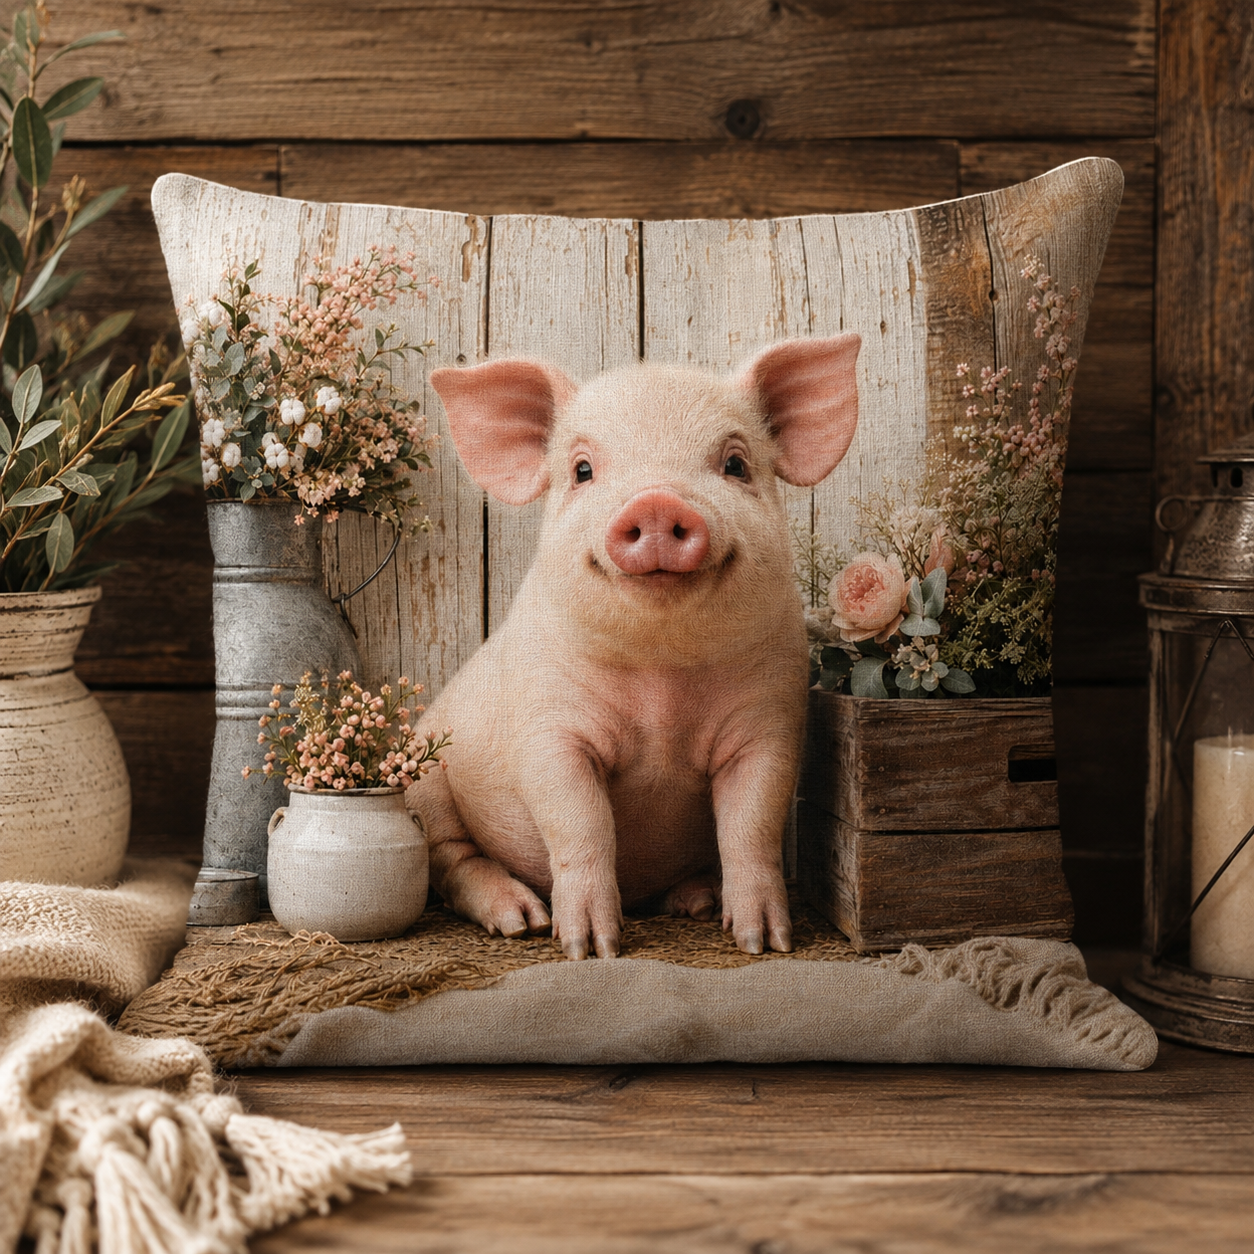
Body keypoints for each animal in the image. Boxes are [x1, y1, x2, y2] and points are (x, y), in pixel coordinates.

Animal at [410, 334, 861, 959]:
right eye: (582, 470)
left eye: (735, 464)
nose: (656, 503)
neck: (661, 684)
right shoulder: (549, 731)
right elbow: (581, 822)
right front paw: (588, 949)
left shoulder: (768, 727)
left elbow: (753, 823)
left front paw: (763, 943)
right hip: (424, 773)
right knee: (450, 859)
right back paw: (522, 919)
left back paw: (697, 900)